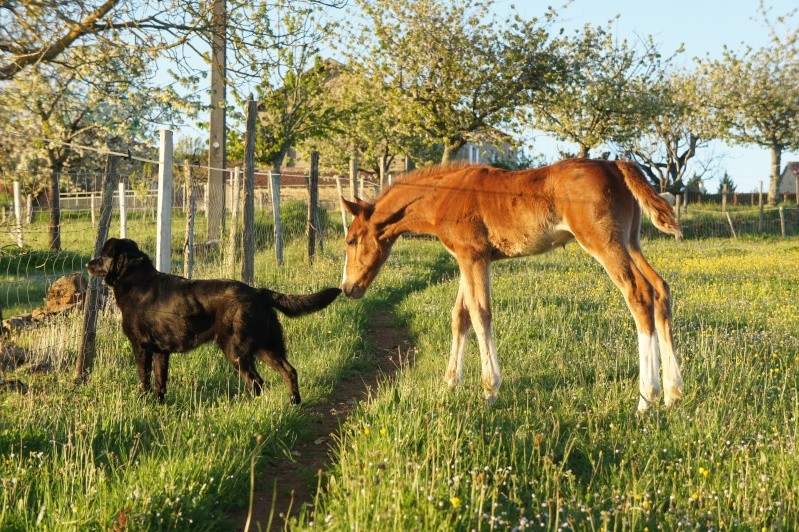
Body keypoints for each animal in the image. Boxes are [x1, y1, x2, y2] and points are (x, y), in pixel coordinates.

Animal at [86, 237, 340, 404]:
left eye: (103, 254)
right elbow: (160, 382)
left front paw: (142, 403)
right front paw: (158, 405)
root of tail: (258, 292)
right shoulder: (160, 352)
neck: (135, 280)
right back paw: (293, 402)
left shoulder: (141, 347)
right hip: (265, 346)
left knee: (257, 382)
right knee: (289, 371)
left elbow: (144, 379)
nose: (88, 264)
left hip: (236, 349)